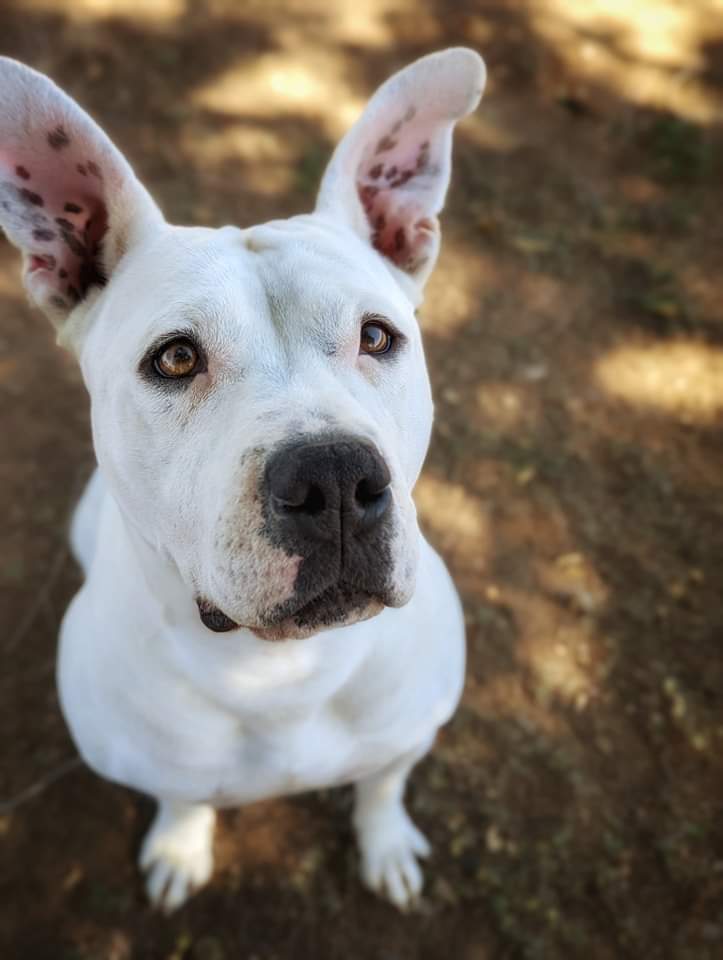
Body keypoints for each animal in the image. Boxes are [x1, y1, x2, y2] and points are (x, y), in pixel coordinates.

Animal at [1, 47, 486, 916]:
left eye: (376, 336)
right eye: (174, 358)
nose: (334, 476)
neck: (279, 677)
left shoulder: (407, 734)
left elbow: (382, 785)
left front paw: (385, 842)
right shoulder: (156, 764)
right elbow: (182, 796)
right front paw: (179, 845)